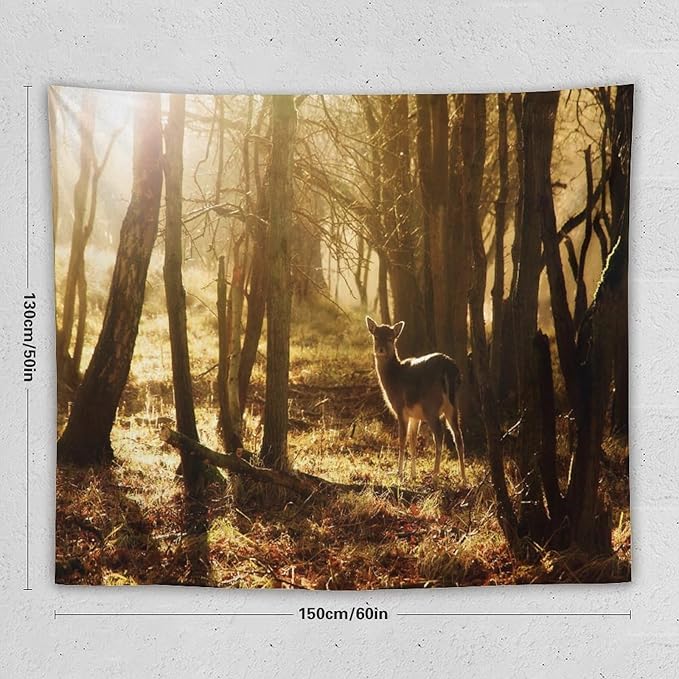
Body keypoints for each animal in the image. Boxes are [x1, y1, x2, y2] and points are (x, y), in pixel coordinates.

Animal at [365, 316, 467, 483]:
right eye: (376, 336)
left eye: (391, 338)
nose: (380, 349)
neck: (393, 378)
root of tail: (449, 368)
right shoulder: (415, 415)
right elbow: (413, 441)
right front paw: (412, 474)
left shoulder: (400, 409)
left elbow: (402, 440)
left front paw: (399, 473)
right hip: (453, 405)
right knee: (458, 436)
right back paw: (463, 478)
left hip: (431, 406)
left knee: (439, 436)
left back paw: (435, 475)